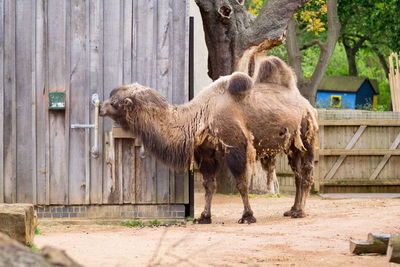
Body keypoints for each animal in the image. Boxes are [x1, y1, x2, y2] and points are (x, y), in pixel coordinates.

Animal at [99, 57, 316, 225]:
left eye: (114, 102)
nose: (100, 107)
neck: (200, 116)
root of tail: (306, 104)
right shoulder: (206, 152)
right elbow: (209, 185)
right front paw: (204, 216)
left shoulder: (235, 147)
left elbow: (241, 183)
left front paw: (247, 216)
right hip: (292, 145)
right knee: (297, 174)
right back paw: (292, 209)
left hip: (306, 134)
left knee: (306, 173)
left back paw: (300, 212)